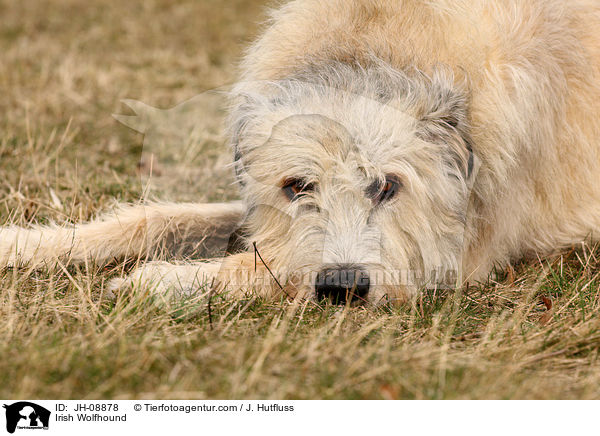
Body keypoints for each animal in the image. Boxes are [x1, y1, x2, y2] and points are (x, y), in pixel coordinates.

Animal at [1, 0, 600, 306]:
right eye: (297, 187)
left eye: (387, 186)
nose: (343, 289)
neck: (371, 51)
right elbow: (156, 219)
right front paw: (27, 245)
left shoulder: (454, 255)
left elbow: (269, 262)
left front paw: (162, 281)